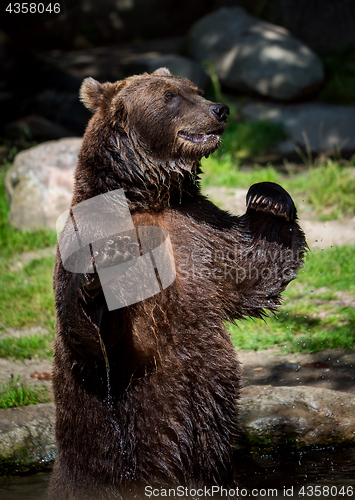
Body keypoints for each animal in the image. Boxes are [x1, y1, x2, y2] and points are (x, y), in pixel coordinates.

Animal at [50, 67, 308, 500]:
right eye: (170, 96)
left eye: (196, 90)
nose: (219, 110)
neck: (145, 197)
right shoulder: (88, 236)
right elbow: (95, 343)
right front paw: (98, 281)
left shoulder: (197, 233)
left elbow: (252, 267)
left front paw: (268, 196)